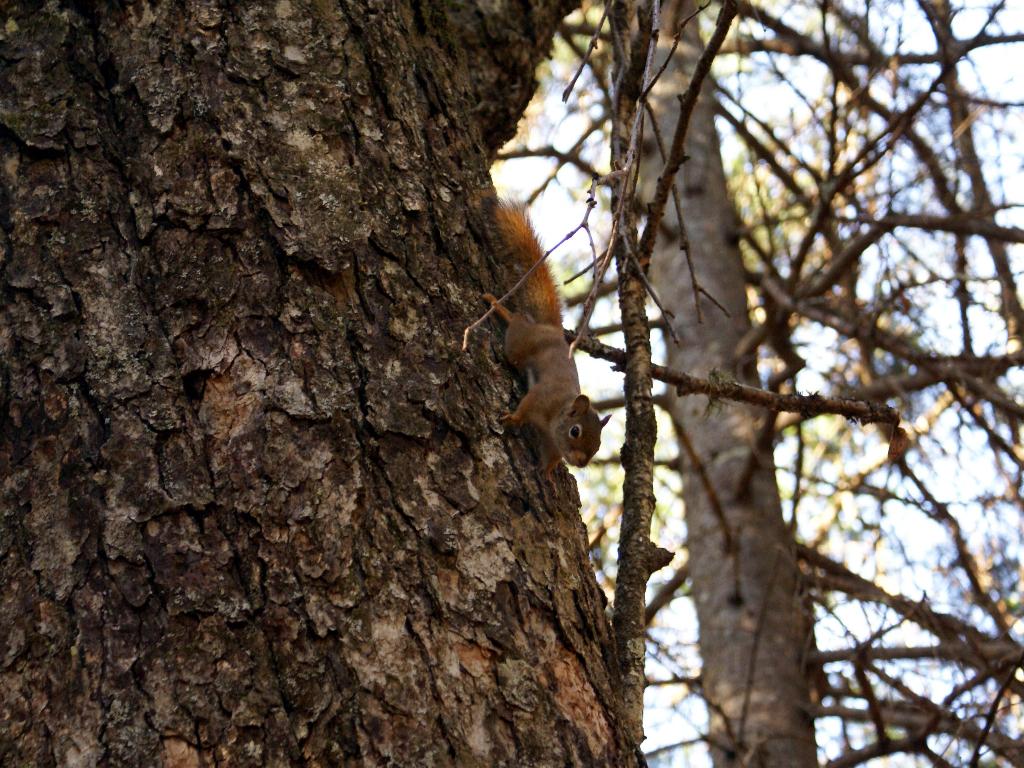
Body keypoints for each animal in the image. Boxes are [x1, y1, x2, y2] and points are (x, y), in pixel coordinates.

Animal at [483, 201, 610, 479]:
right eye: (575, 431)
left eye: (598, 444)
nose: (581, 463)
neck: (557, 414)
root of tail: (552, 330)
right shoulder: (541, 397)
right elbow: (525, 407)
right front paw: (514, 419)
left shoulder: (553, 442)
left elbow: (551, 456)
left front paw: (546, 471)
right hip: (520, 343)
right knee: (517, 323)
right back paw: (499, 308)